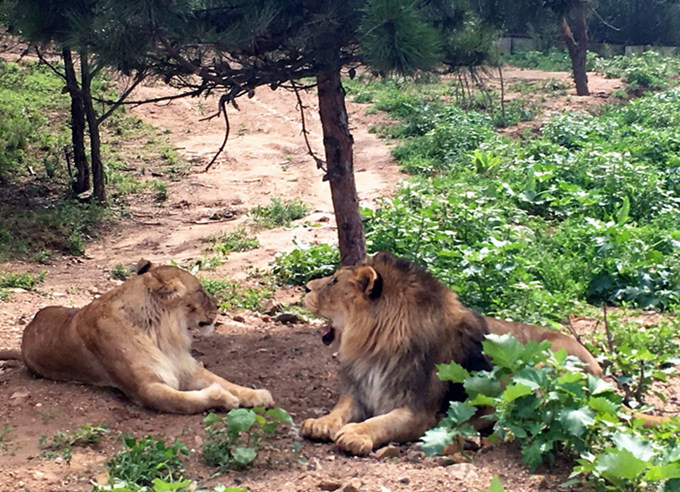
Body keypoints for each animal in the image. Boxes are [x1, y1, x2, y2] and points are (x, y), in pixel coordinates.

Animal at [3, 260, 274, 414]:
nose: (218, 306)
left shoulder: (185, 368)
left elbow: (225, 381)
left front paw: (258, 395)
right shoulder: (146, 389)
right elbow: (190, 400)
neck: (162, 333)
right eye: (200, 291)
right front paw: (224, 399)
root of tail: (27, 330)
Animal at [302, 252, 604, 456]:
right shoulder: (361, 393)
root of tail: (598, 367)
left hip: (543, 367)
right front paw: (320, 423)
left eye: (333, 281)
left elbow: (382, 422)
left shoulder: (418, 412)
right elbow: (340, 409)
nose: (305, 287)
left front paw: (355, 434)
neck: (372, 347)